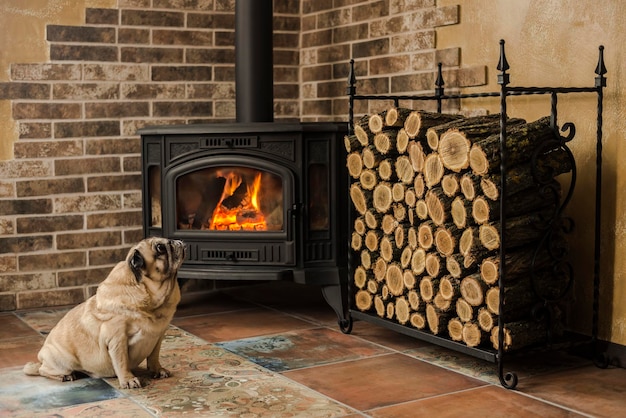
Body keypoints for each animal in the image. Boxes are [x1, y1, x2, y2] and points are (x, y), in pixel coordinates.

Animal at [24, 238, 185, 388]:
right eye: (160, 247)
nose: (176, 241)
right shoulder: (118, 340)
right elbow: (122, 362)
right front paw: (128, 380)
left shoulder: (157, 336)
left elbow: (153, 357)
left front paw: (157, 370)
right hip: (62, 361)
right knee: (43, 370)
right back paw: (65, 375)